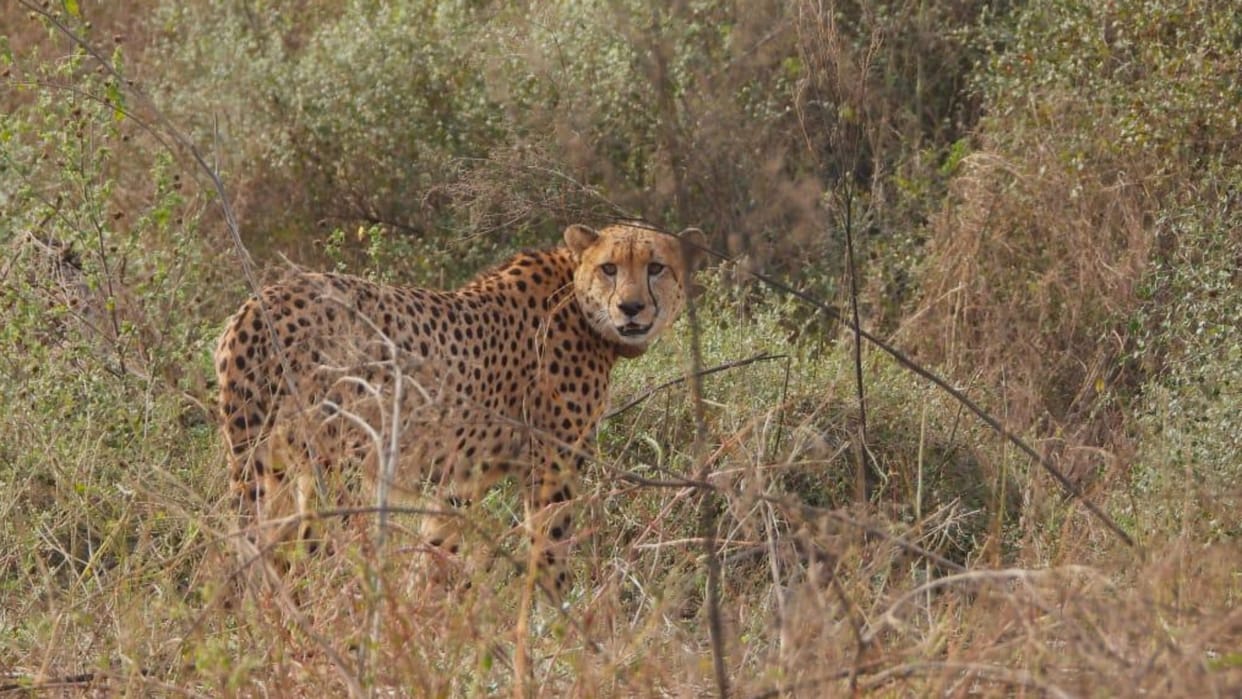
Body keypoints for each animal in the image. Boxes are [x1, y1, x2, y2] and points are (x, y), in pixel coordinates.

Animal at [215, 222, 703, 600]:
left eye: (656, 267)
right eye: (609, 268)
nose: (631, 307)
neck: (580, 304)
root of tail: (259, 302)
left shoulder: (464, 477)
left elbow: (436, 546)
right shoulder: (552, 467)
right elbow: (549, 550)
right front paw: (562, 626)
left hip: (271, 466)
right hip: (335, 470)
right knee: (313, 552)